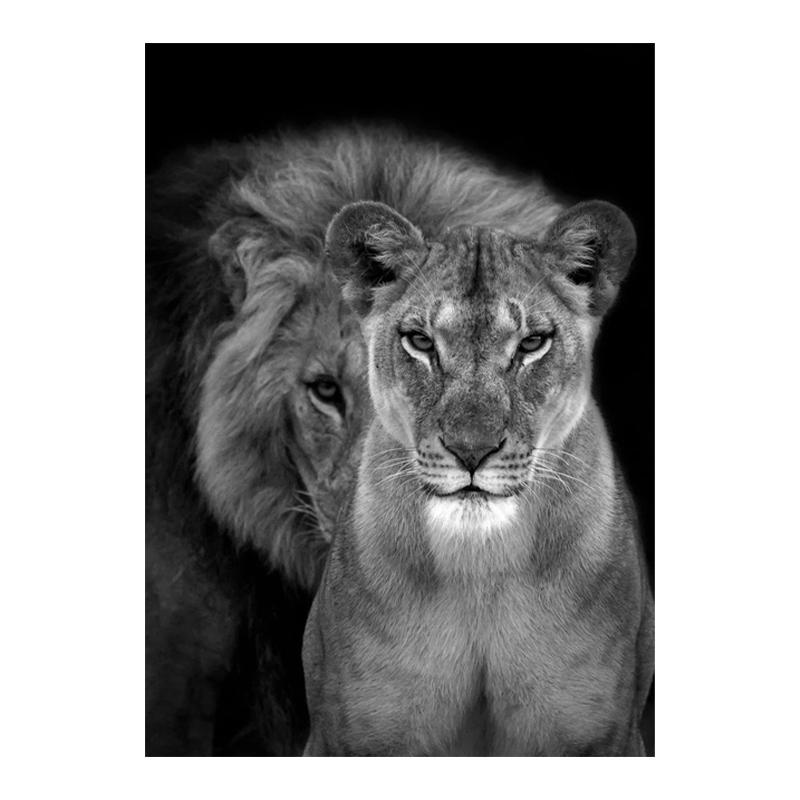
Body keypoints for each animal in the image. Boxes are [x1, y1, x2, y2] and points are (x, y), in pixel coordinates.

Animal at [302, 200, 654, 756]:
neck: (479, 567)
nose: (471, 451)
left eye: (531, 343)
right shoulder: (350, 735)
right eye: (420, 341)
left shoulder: (603, 735)